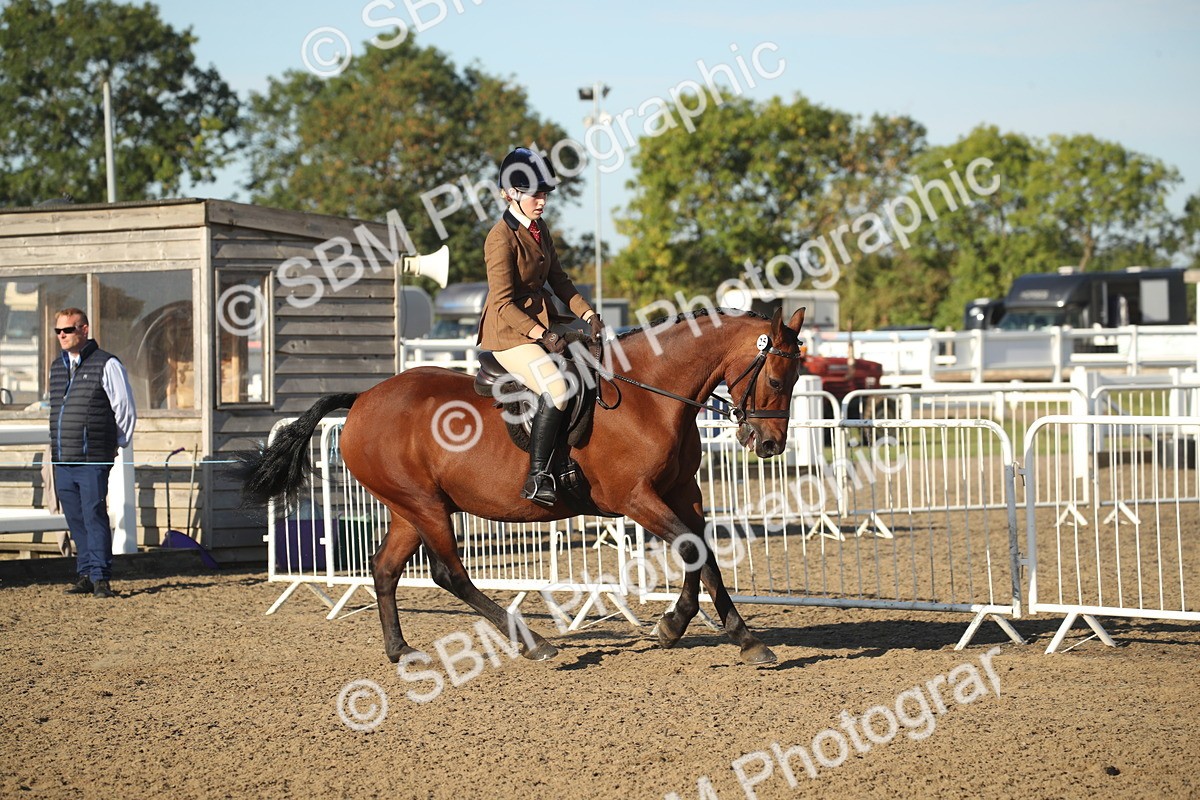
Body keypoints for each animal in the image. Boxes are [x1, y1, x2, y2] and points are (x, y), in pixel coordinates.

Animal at [235, 306, 807, 665]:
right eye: (778, 379)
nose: (770, 444)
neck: (651, 394)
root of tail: (364, 399)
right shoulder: (635, 499)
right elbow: (693, 551)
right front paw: (731, 636)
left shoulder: (681, 492)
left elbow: (701, 554)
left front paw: (690, 627)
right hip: (425, 506)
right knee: (448, 574)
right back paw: (533, 644)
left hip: (408, 508)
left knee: (385, 570)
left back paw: (401, 650)